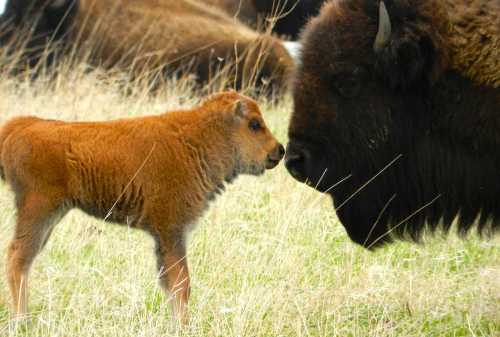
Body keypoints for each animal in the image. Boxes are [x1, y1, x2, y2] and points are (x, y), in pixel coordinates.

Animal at [0, 90, 282, 324]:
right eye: (254, 124)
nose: (279, 150)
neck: (199, 138)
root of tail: (22, 125)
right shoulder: (172, 232)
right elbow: (182, 283)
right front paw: (183, 325)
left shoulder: (164, 237)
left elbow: (169, 283)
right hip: (39, 210)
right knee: (17, 258)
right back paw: (23, 321)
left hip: (50, 215)